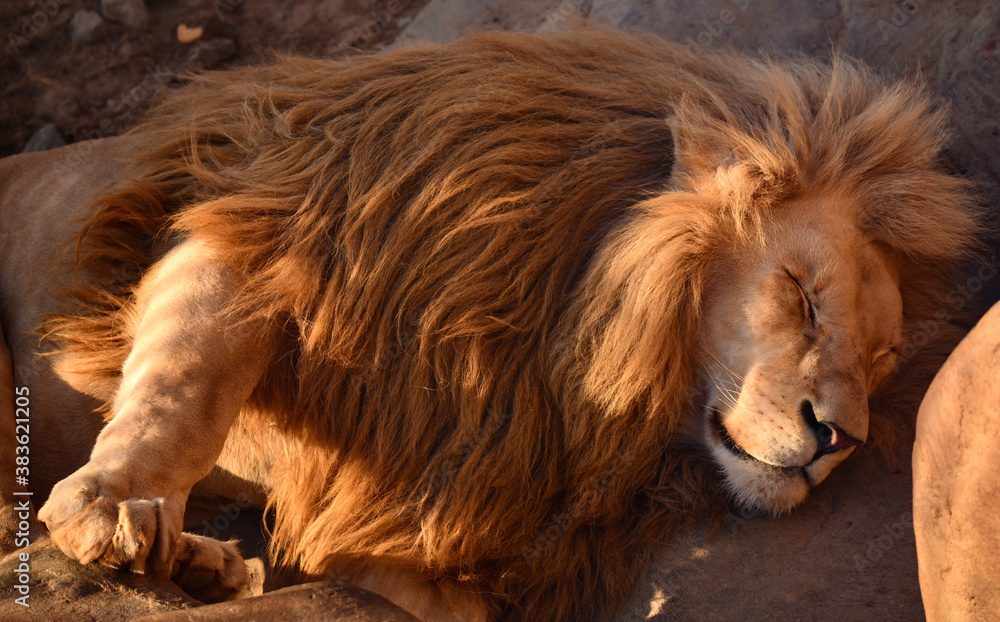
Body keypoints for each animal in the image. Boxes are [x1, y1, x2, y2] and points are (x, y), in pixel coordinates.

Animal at [0, 27, 982, 621]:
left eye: (881, 360)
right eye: (801, 294)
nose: (838, 438)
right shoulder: (259, 223)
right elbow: (186, 385)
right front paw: (108, 508)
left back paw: (203, 565)